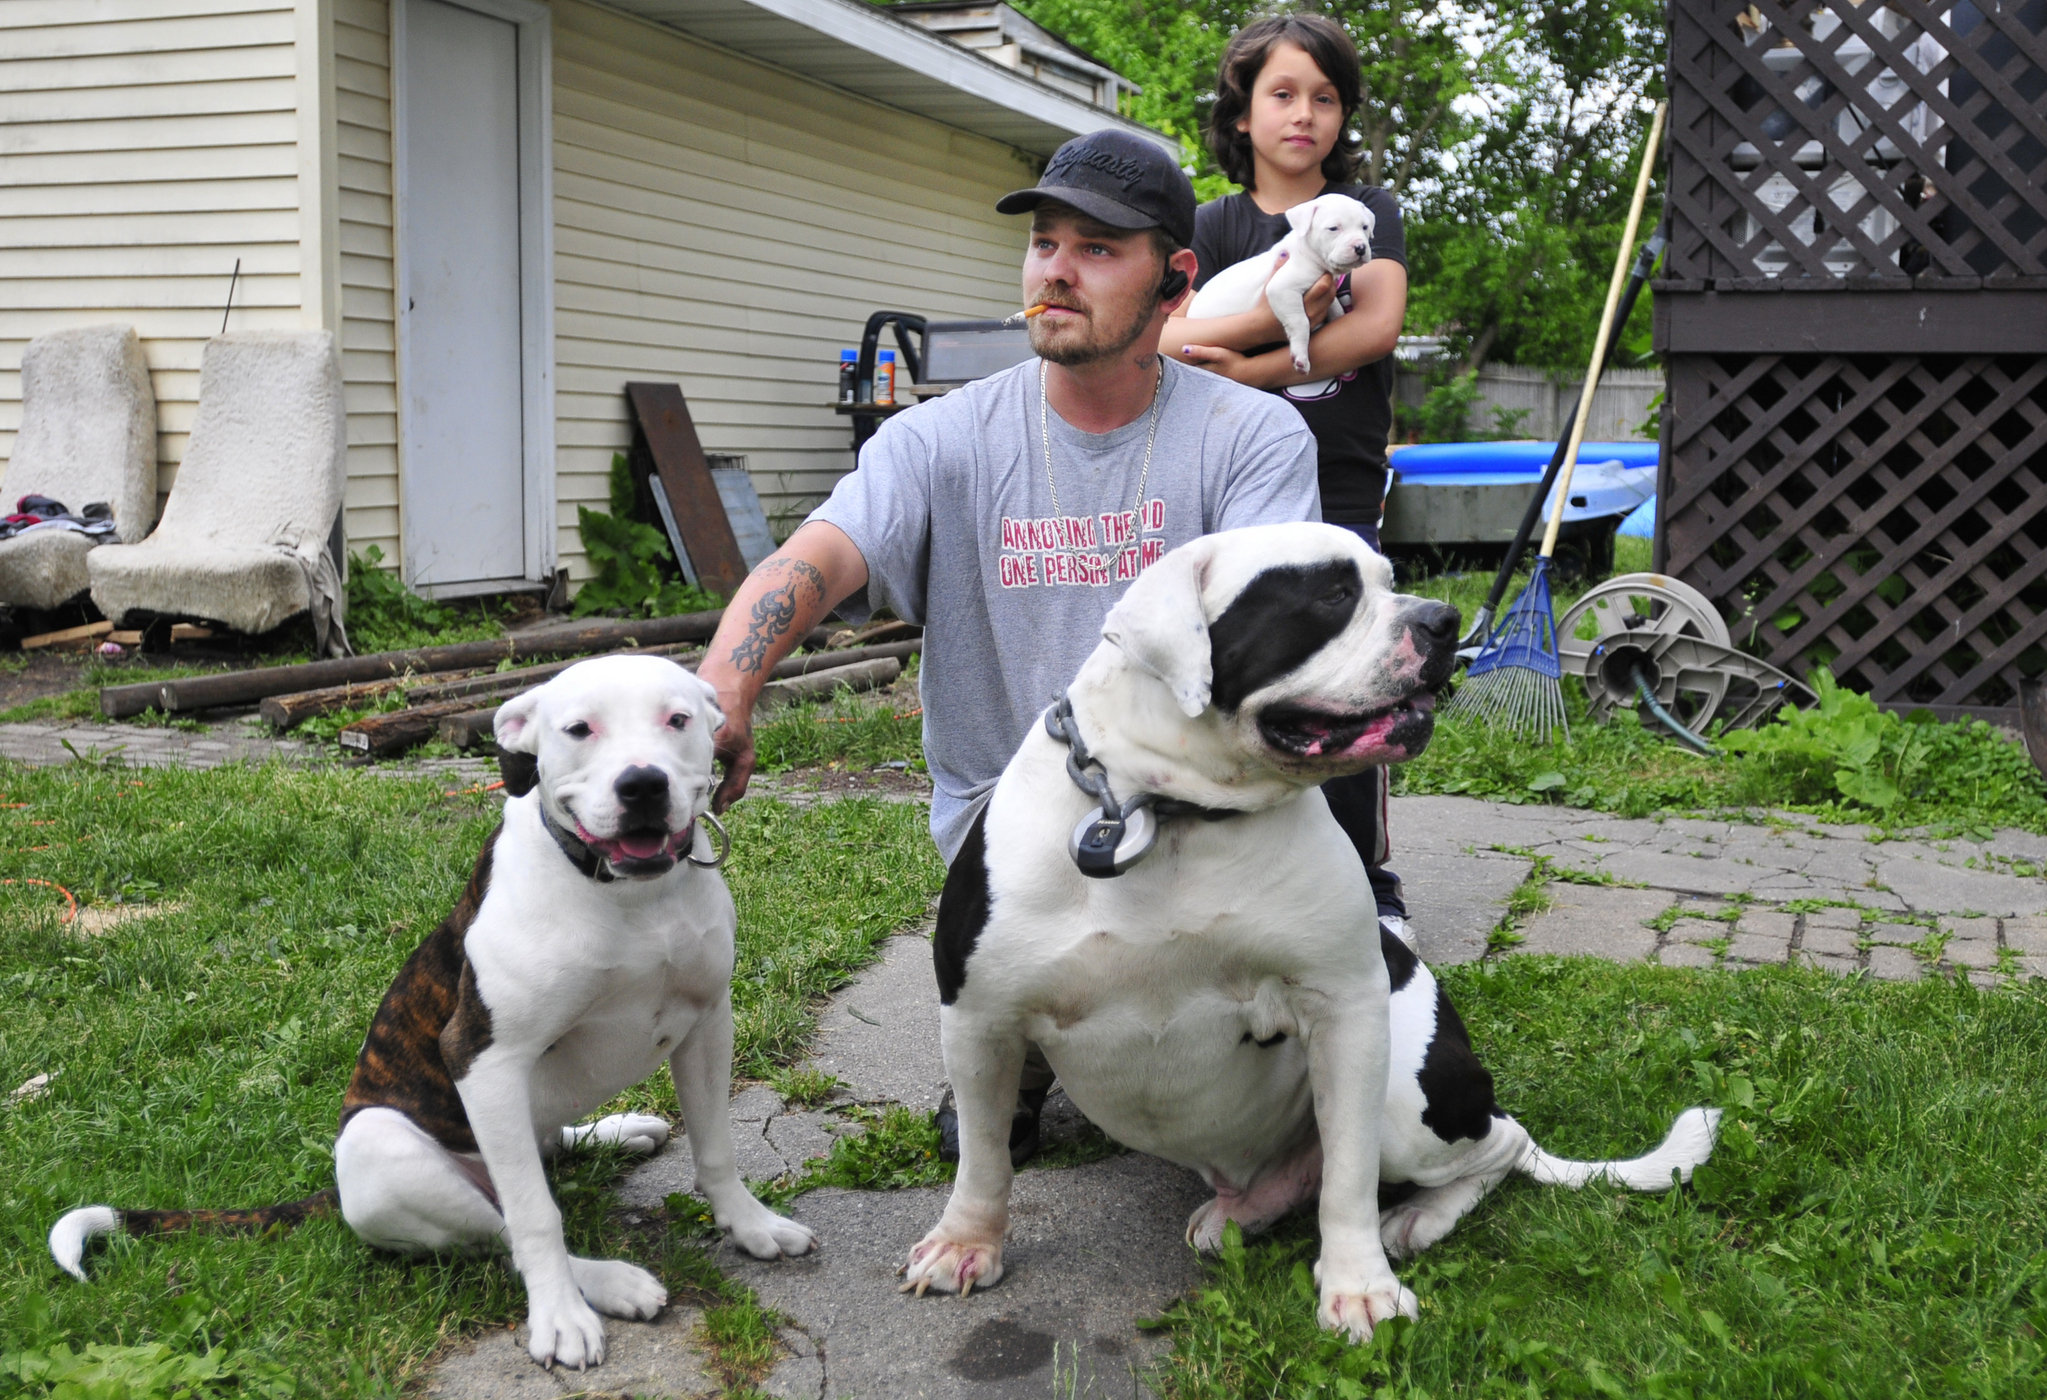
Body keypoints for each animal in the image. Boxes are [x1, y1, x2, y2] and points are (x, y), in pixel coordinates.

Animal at [49, 654, 814, 1367]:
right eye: (578, 729)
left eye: (678, 720)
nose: (643, 784)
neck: (630, 897)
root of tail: (333, 1190)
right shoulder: (484, 1057)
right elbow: (536, 1220)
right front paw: (560, 1318)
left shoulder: (708, 1020)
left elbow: (715, 1148)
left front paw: (749, 1225)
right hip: (384, 1152)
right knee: (505, 1224)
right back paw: (607, 1284)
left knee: (545, 1150)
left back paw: (615, 1131)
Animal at [904, 528, 1719, 1342]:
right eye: (1330, 594)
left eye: (1389, 579)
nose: (1443, 620)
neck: (1166, 812)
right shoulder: (980, 1020)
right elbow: (983, 1155)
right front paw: (965, 1243)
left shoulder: (1346, 1013)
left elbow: (1351, 1180)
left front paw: (1360, 1286)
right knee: (1314, 1173)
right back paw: (1246, 1211)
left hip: (1407, 1101)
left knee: (1493, 1145)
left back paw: (1416, 1218)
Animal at [1187, 191, 1375, 380]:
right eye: (1334, 228)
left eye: (1365, 227)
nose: (1360, 247)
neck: (1308, 254)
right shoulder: (1282, 290)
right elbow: (1301, 321)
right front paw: (1301, 357)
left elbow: (1337, 309)